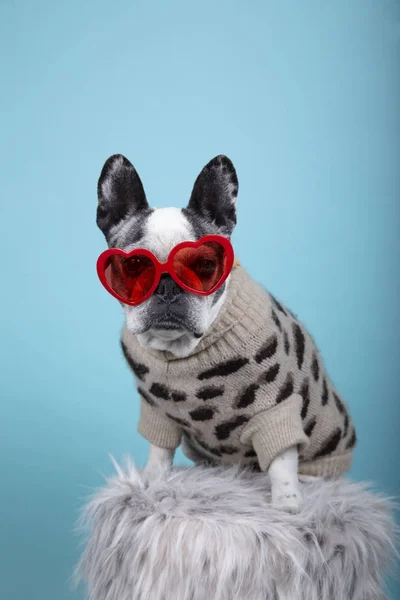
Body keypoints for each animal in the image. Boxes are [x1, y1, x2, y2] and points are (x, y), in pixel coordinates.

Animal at [95, 154, 354, 510]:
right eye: (134, 266)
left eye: (205, 266)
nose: (167, 286)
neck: (181, 351)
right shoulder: (157, 411)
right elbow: (159, 453)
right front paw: (149, 488)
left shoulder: (276, 410)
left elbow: (281, 464)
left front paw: (287, 507)